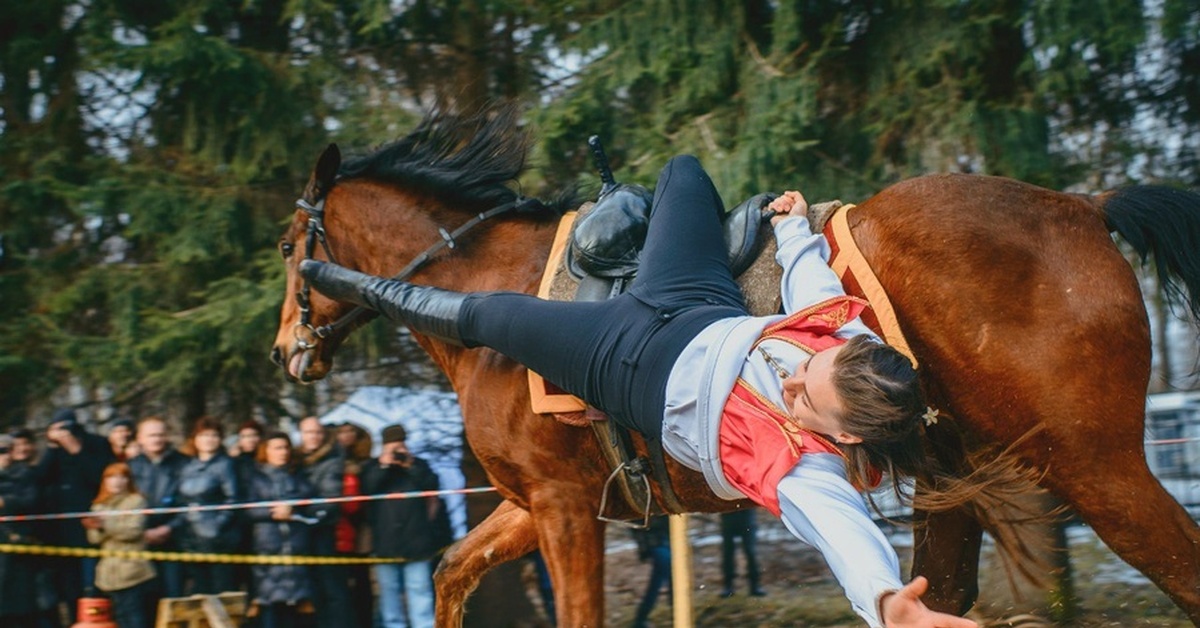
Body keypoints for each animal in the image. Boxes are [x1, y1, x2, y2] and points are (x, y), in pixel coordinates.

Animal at [270, 110, 1200, 624]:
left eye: (284, 246)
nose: (286, 350)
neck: (484, 281)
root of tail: (1084, 205)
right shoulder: (537, 504)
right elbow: (450, 573)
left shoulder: (563, 507)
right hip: (958, 478)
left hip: (1096, 467)